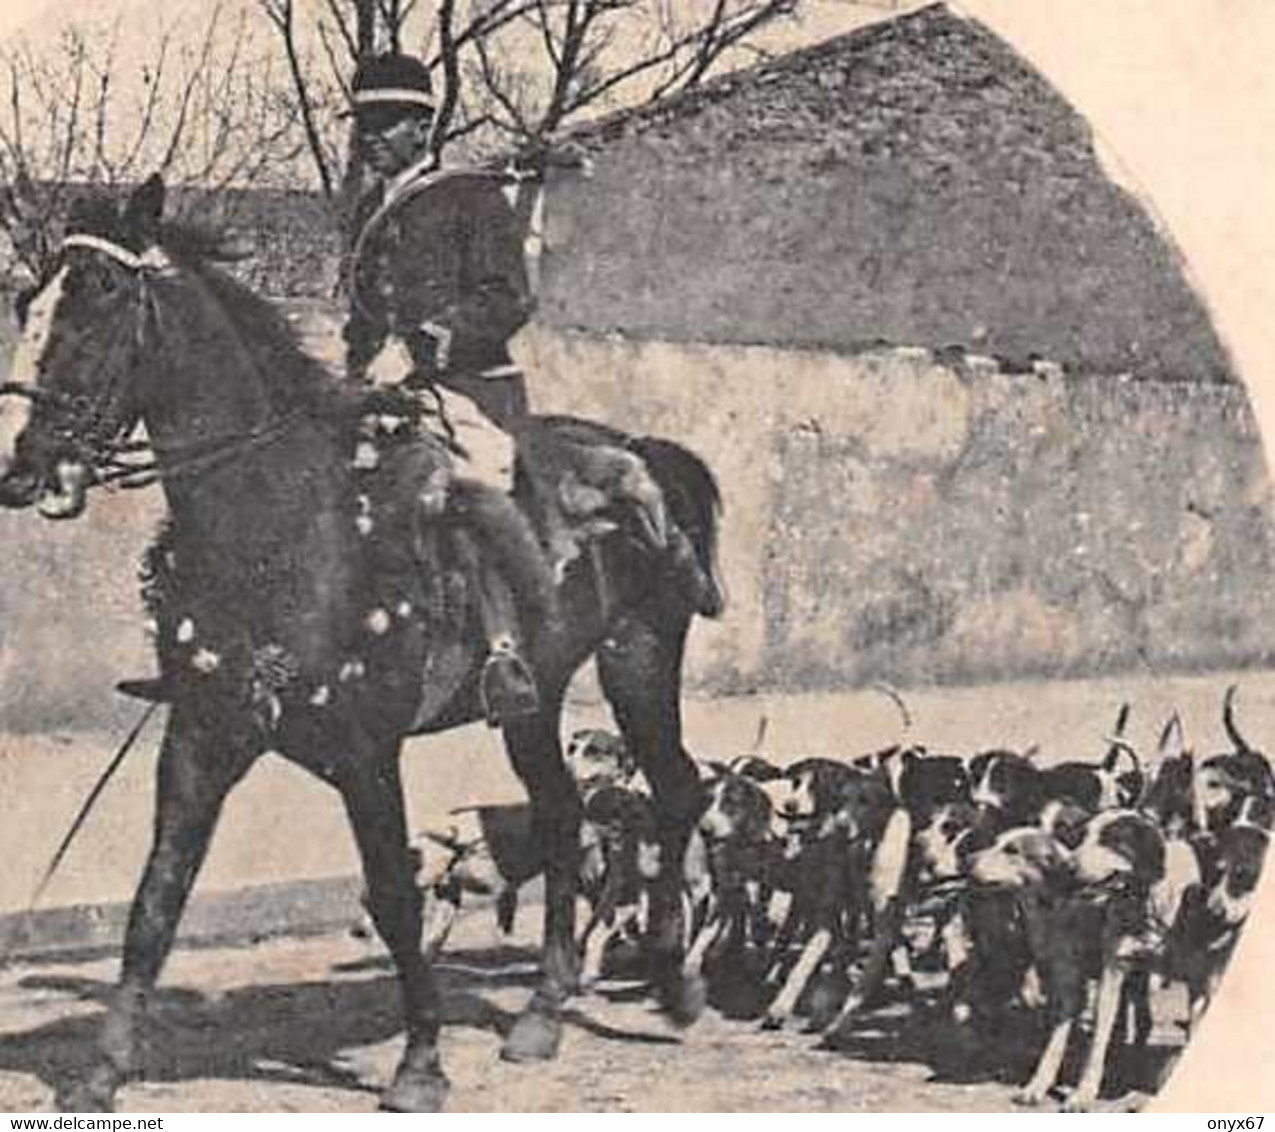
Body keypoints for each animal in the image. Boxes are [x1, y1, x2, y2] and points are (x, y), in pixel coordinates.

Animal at [0, 178, 724, 1116]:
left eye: (101, 298)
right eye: (29, 302)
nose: (21, 467)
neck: (283, 522)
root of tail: (641, 450)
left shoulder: (366, 751)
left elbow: (392, 894)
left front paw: (420, 1064)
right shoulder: (201, 736)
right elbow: (157, 895)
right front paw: (100, 1072)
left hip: (639, 658)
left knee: (675, 791)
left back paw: (674, 981)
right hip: (536, 696)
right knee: (563, 814)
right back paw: (542, 1011)